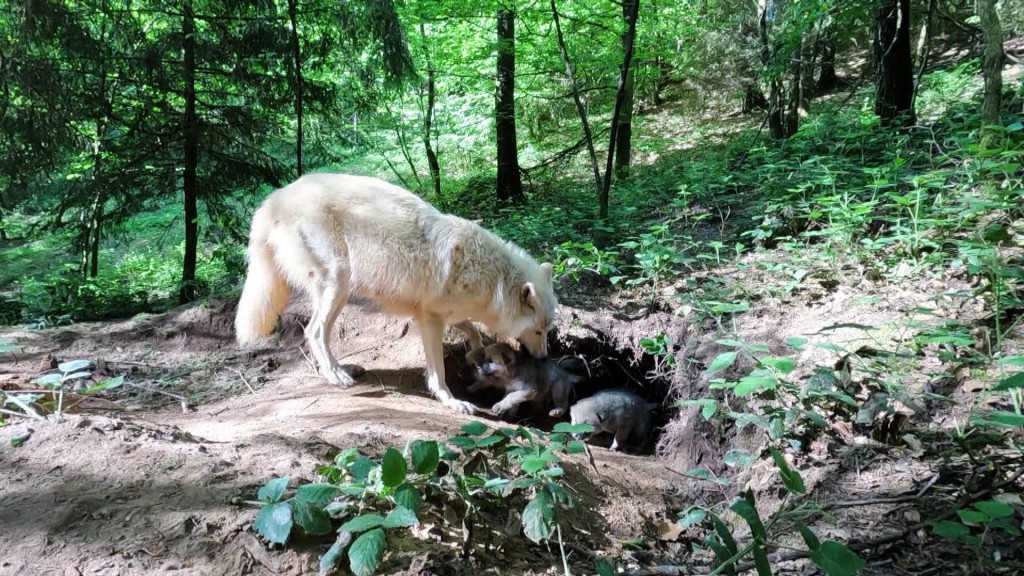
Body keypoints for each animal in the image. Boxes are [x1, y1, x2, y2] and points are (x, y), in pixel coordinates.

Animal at [234, 171, 561, 412]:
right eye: (539, 330)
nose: (544, 358)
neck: (491, 277)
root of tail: (272, 200)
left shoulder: (448, 313)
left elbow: (474, 333)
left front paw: (474, 354)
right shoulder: (430, 318)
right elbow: (438, 371)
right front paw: (452, 401)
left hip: (341, 291)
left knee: (319, 335)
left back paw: (340, 369)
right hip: (338, 281)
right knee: (313, 332)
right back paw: (337, 376)